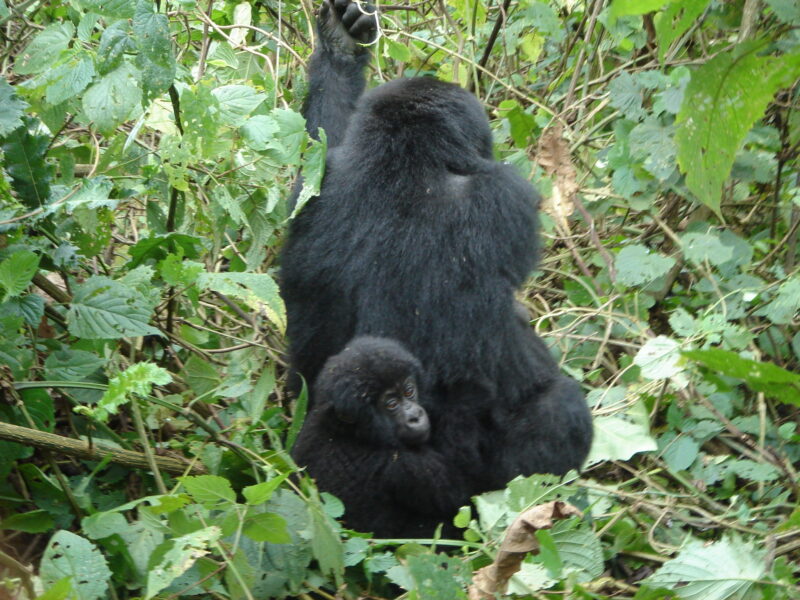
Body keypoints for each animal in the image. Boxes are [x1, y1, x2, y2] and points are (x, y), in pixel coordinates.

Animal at [280, 0, 588, 492]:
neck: (403, 160)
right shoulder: (503, 197)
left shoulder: (320, 183)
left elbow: (319, 143)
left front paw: (341, 48)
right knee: (559, 406)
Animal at [292, 338, 468, 540]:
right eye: (391, 404)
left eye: (409, 391)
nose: (415, 416)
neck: (348, 432)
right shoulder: (412, 467)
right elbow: (459, 499)